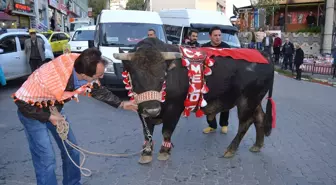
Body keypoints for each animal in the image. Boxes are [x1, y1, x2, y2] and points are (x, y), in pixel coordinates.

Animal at [113, 37, 276, 163]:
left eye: (162, 78)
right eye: (136, 79)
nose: (153, 110)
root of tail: (263, 54)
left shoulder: (174, 108)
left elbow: (167, 131)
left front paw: (164, 151)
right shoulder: (141, 109)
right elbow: (147, 132)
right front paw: (146, 152)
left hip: (247, 100)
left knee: (245, 123)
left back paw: (230, 149)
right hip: (255, 100)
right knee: (259, 118)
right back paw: (257, 145)